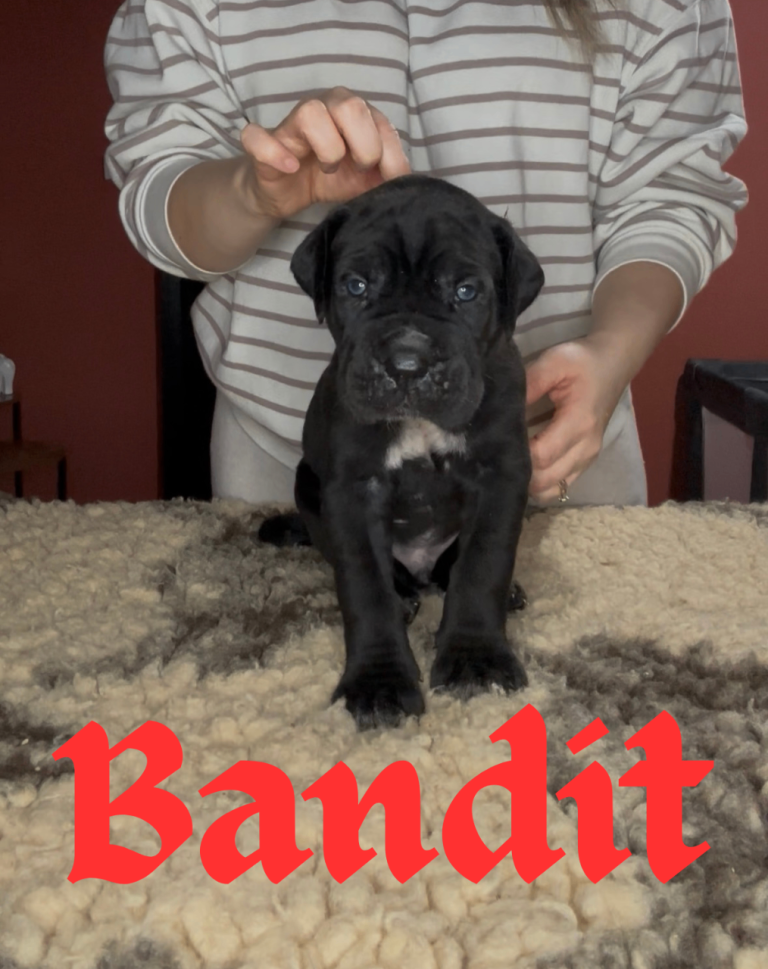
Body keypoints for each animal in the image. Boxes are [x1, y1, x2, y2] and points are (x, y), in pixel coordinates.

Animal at [259, 174, 544, 728]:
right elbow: (365, 588)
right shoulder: (352, 490)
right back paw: (406, 594)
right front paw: (378, 683)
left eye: (466, 291)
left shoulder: (502, 475)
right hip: (307, 485)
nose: (408, 363)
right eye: (356, 286)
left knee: (452, 567)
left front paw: (477, 659)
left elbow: (482, 566)